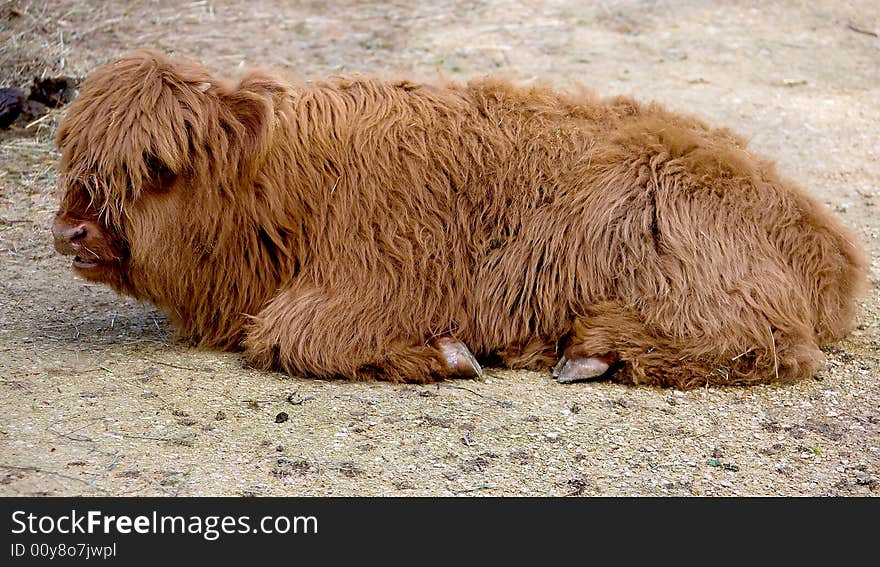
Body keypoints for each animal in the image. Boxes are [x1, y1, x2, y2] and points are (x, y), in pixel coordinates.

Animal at [49, 50, 868, 390]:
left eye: (156, 167)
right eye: (73, 155)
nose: (71, 231)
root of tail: (828, 243)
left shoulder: (372, 285)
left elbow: (288, 335)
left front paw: (450, 355)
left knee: (766, 346)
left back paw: (589, 353)